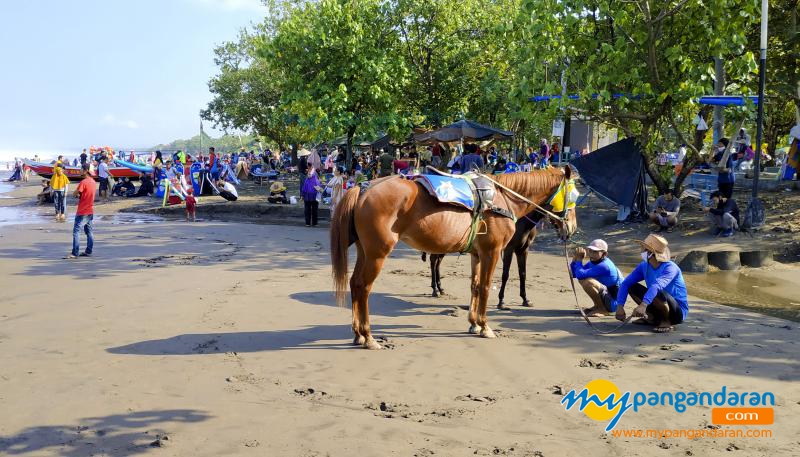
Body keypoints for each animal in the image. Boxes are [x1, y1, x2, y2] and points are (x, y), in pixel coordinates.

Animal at [328, 167, 580, 350]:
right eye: (574, 196)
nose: (571, 227)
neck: (502, 200)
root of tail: (363, 188)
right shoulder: (493, 252)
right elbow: (486, 287)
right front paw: (485, 326)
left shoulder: (477, 254)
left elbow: (475, 286)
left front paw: (474, 323)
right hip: (377, 254)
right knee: (364, 287)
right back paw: (368, 336)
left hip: (365, 251)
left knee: (355, 283)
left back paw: (358, 334)